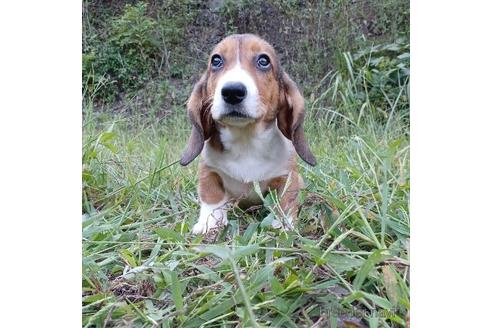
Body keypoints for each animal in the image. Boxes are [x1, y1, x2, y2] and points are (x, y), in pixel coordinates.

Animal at [180, 34, 316, 234]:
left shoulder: (287, 176)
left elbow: (285, 199)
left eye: (263, 61)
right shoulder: (209, 170)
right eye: (216, 60)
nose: (232, 91)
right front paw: (208, 222)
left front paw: (283, 223)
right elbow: (211, 195)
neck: (245, 140)